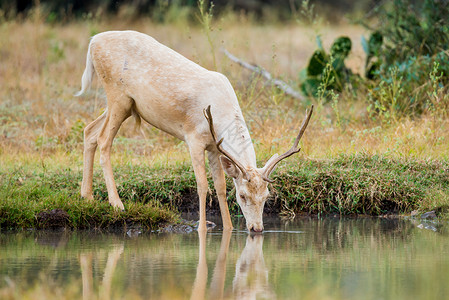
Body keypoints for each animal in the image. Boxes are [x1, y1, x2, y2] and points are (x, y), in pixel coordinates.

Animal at [75, 29, 312, 232]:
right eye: (243, 195)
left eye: (267, 196)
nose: (256, 228)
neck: (220, 114)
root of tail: (92, 42)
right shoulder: (194, 139)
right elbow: (202, 185)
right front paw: (201, 228)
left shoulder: (215, 147)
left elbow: (220, 187)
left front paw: (228, 228)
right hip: (117, 94)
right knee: (104, 139)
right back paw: (117, 204)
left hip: (125, 105)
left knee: (90, 131)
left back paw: (87, 196)